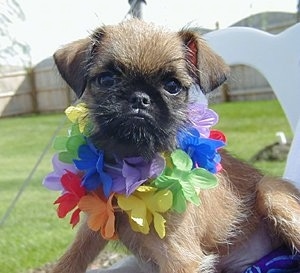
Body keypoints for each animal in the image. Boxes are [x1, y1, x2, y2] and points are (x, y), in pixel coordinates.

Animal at [49, 18, 300, 270]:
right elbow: (71, 258)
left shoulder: (180, 258)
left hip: (271, 192)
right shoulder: (93, 225)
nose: (140, 98)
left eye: (172, 86)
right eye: (107, 79)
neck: (131, 167)